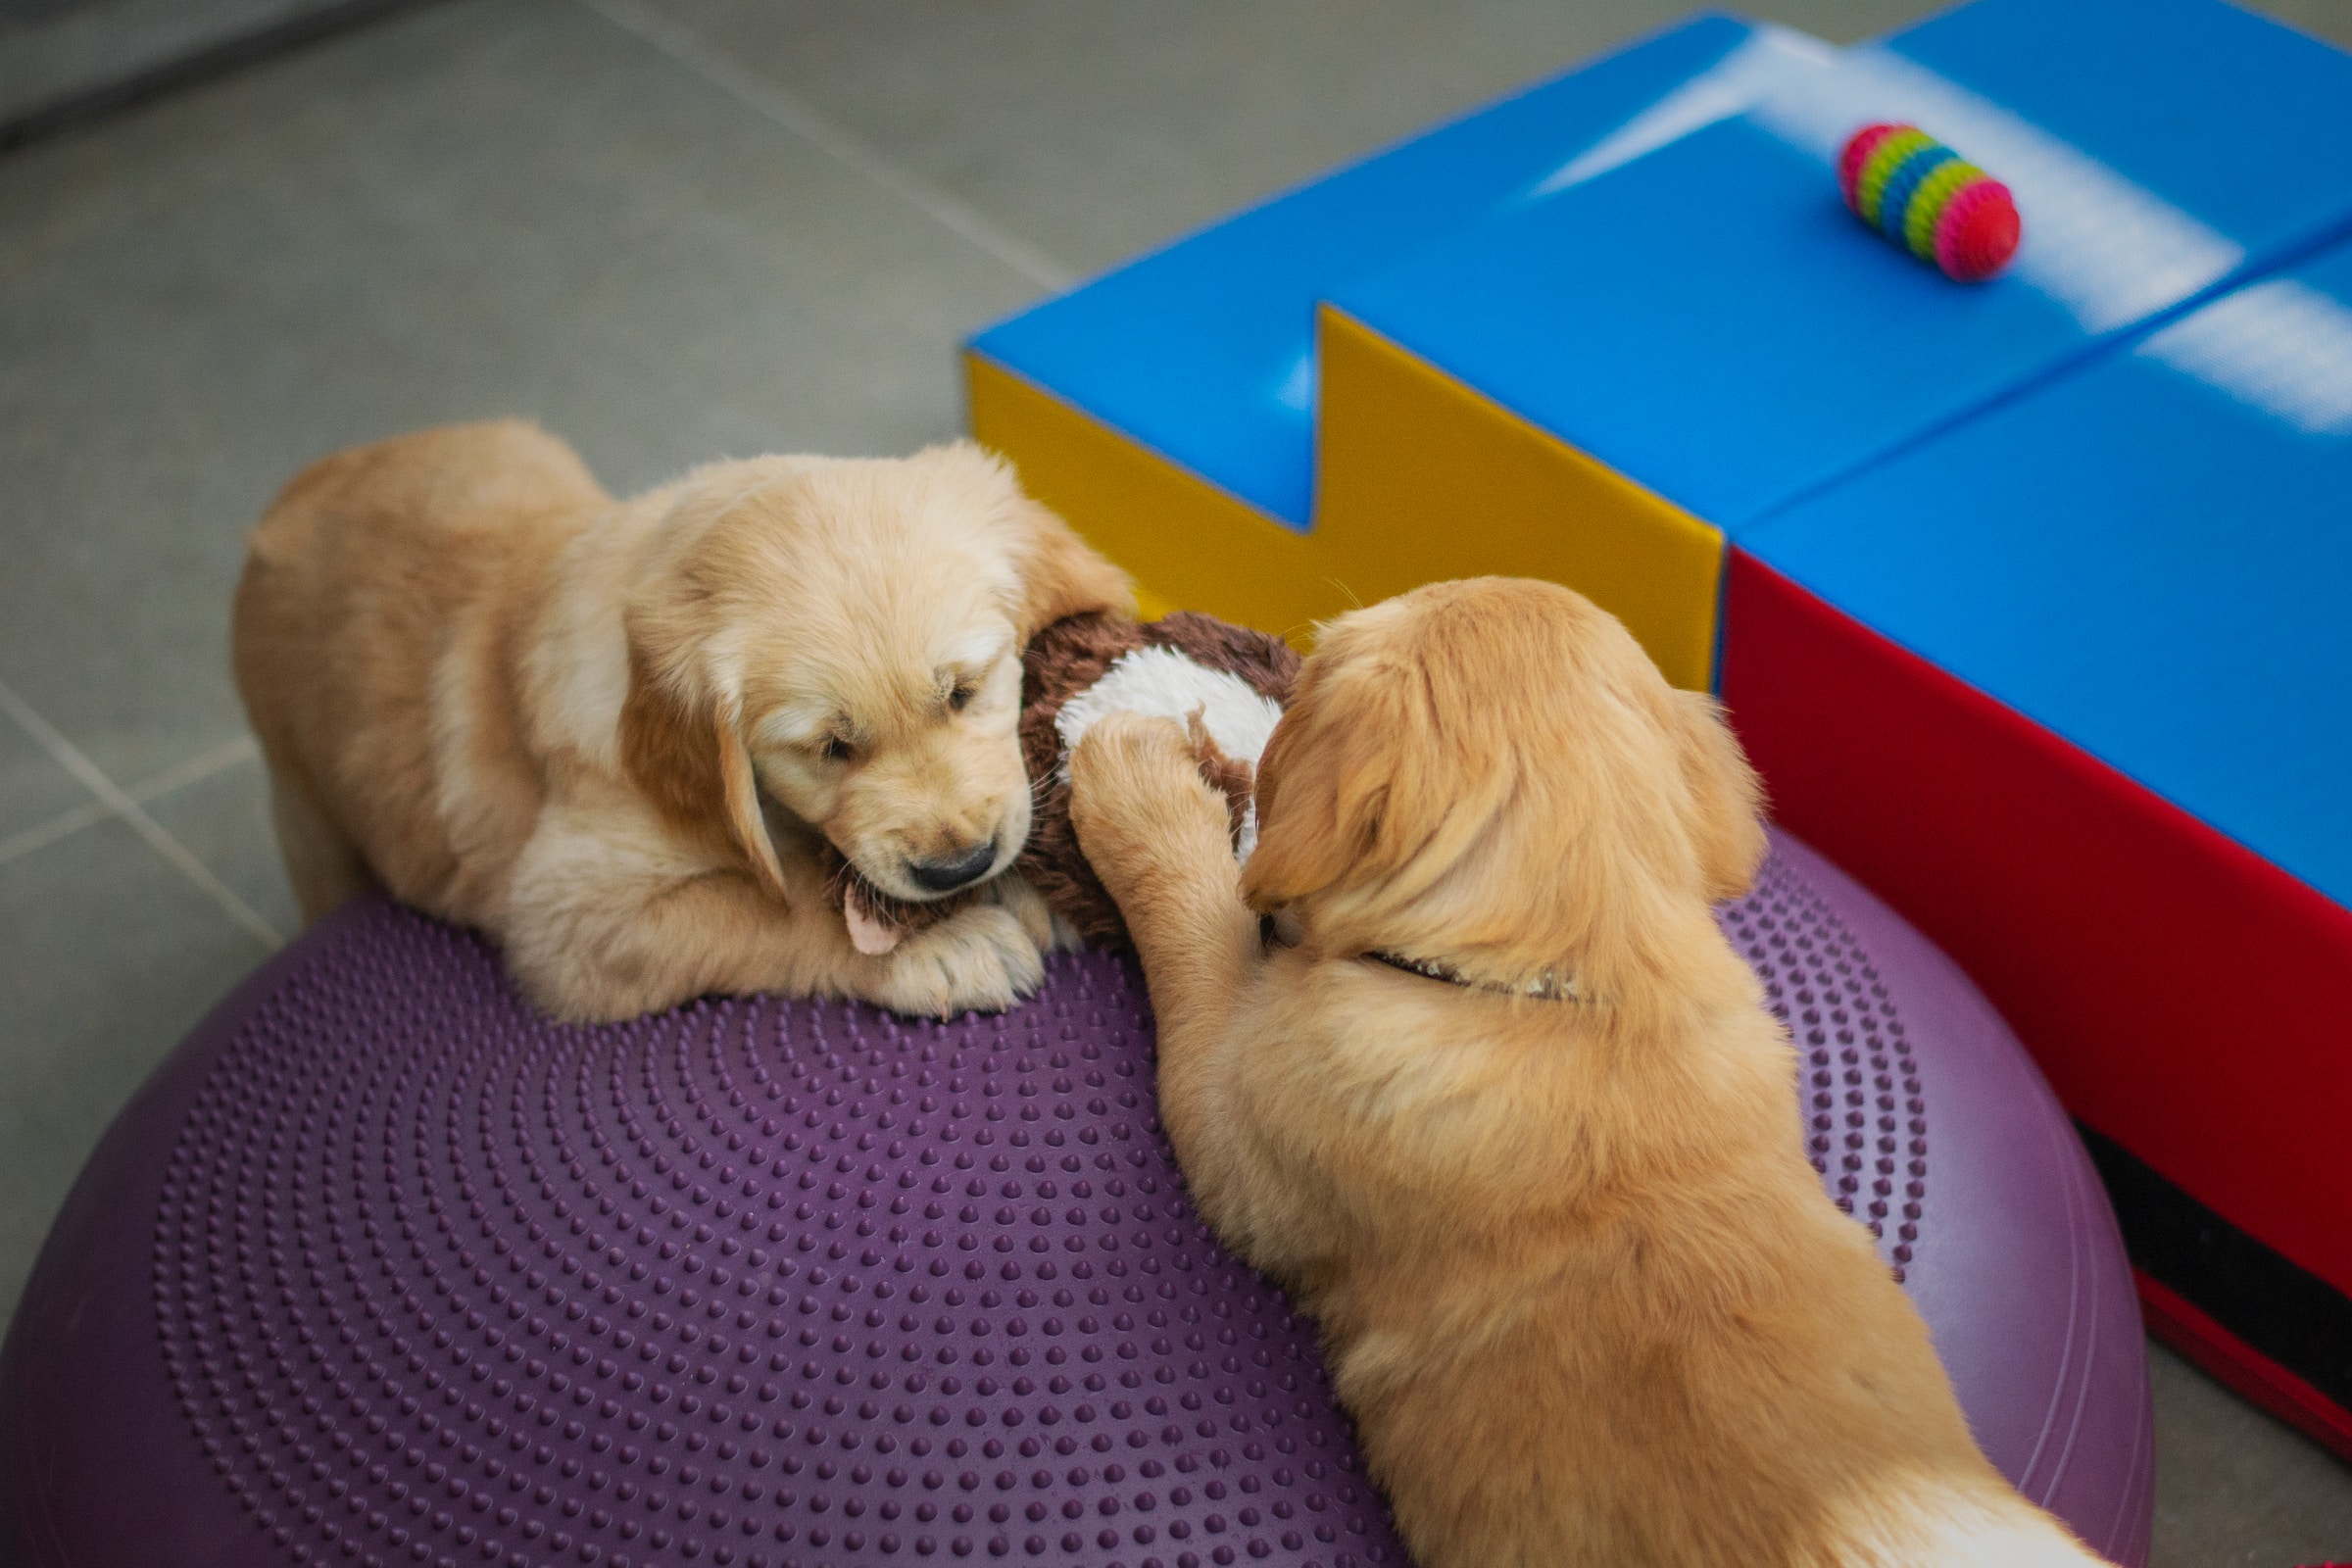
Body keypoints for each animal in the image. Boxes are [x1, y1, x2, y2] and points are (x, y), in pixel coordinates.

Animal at [241, 422, 1129, 1024]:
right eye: (829, 749)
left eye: (964, 693)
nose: (960, 866)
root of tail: (294, 491)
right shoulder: (565, 919)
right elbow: (771, 909)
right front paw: (943, 946)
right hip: (306, 817)